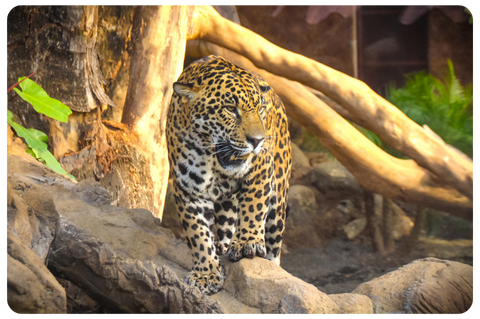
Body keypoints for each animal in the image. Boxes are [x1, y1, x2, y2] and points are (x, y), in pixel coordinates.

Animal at [165, 54, 292, 296]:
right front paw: (206, 273)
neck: (210, 157)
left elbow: (253, 206)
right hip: (226, 205)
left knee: (274, 245)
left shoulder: (260, 170)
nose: (258, 140)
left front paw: (247, 243)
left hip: (278, 205)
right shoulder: (188, 189)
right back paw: (222, 248)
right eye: (230, 108)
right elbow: (197, 233)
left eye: (259, 109)